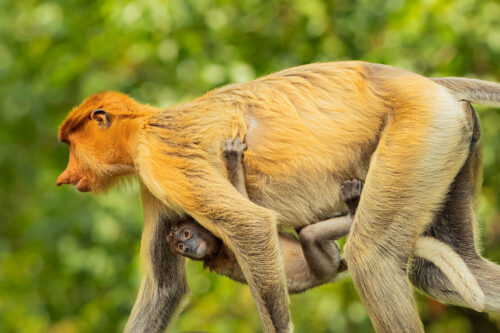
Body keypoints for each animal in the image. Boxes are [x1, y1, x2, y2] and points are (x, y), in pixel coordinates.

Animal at [168, 137, 356, 294]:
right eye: (180, 247)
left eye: (186, 234)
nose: (189, 247)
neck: (217, 247)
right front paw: (232, 161)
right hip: (327, 265)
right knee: (308, 235)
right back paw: (353, 208)